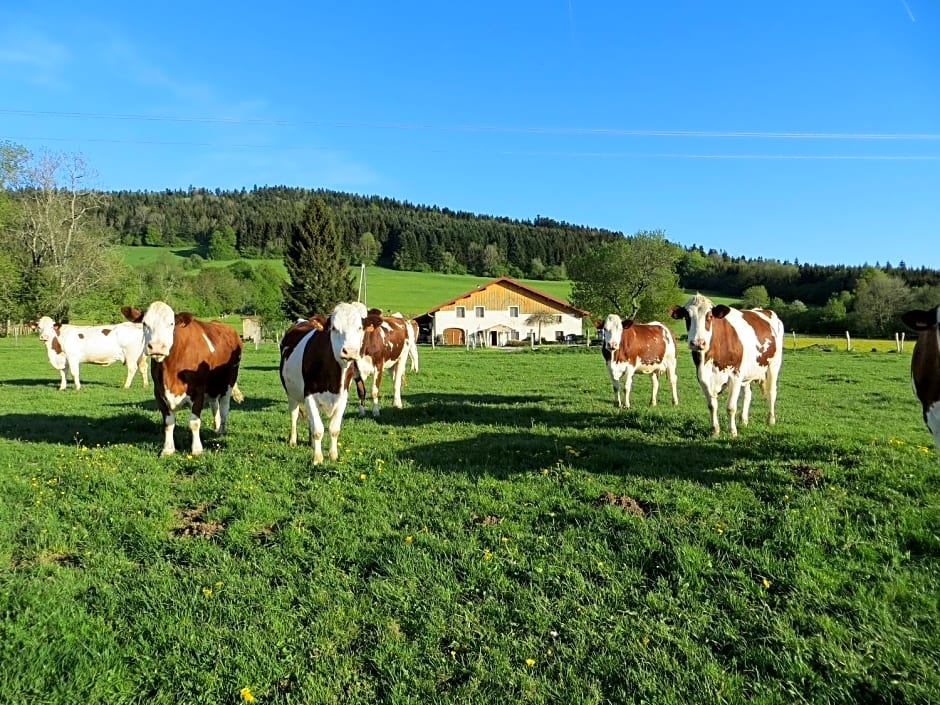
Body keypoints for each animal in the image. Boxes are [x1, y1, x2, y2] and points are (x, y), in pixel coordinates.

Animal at [121, 302, 242, 456]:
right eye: (144, 323)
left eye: (171, 323)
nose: (157, 346)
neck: (171, 371)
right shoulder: (159, 392)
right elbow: (168, 422)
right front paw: (167, 449)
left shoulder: (198, 391)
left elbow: (194, 422)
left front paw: (197, 449)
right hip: (212, 388)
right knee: (214, 405)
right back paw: (216, 426)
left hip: (229, 382)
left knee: (224, 407)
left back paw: (221, 430)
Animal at [278, 302, 366, 462]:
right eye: (334, 328)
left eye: (359, 328)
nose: (349, 351)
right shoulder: (309, 394)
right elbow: (318, 430)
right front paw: (317, 458)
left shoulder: (343, 396)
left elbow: (334, 429)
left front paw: (333, 455)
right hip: (291, 393)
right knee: (294, 415)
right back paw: (293, 440)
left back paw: (311, 443)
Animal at [668, 292, 784, 434]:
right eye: (686, 316)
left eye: (710, 316)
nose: (698, 343)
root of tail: (763, 310)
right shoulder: (702, 376)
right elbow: (712, 405)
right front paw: (714, 430)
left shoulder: (735, 375)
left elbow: (730, 407)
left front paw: (732, 431)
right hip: (748, 372)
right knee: (747, 394)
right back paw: (744, 420)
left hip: (774, 365)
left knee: (771, 391)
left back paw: (771, 420)